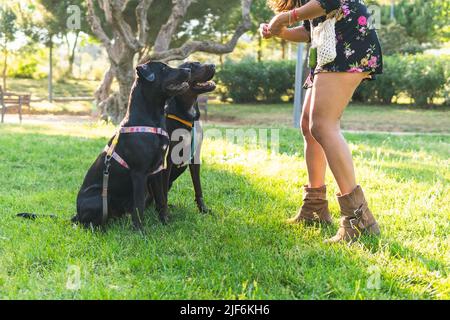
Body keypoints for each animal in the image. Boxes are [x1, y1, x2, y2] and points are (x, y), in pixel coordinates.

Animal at [71, 60, 190, 230]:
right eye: (164, 68)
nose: (188, 70)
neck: (152, 119)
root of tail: (76, 214)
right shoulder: (139, 173)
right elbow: (139, 206)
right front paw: (140, 231)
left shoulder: (157, 169)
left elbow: (161, 199)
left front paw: (165, 222)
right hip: (99, 199)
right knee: (87, 223)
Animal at [148, 61, 216, 216]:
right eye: (191, 67)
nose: (213, 65)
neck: (188, 115)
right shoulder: (167, 159)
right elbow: (163, 192)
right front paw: (165, 213)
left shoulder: (195, 156)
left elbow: (198, 187)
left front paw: (203, 209)